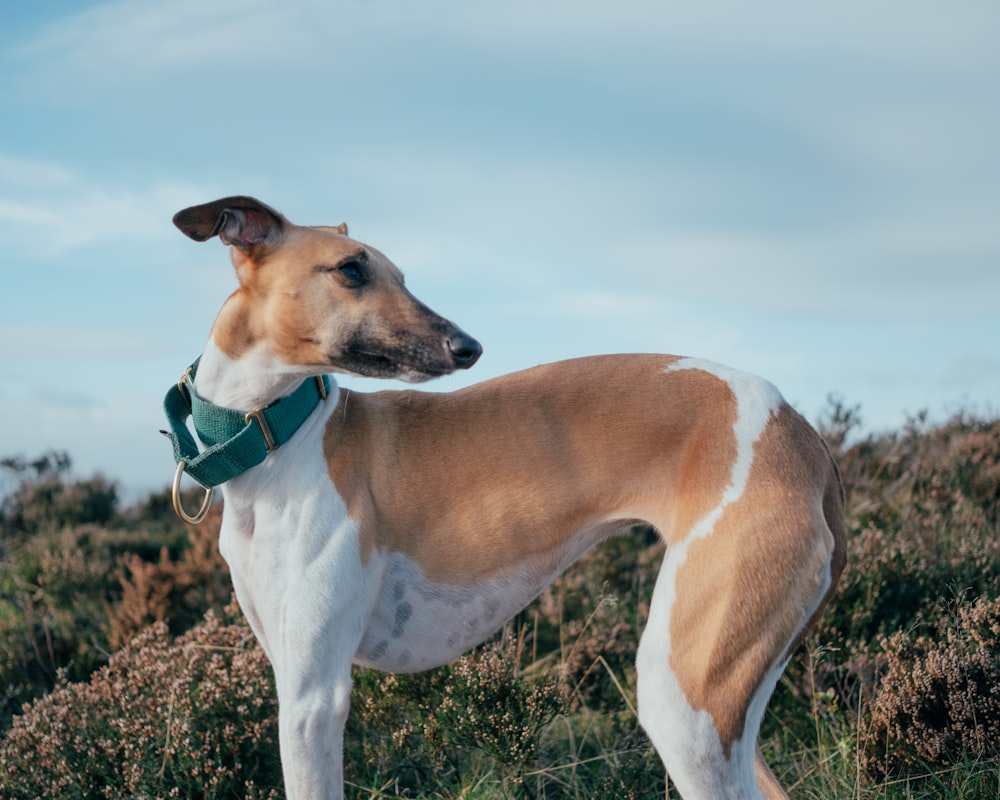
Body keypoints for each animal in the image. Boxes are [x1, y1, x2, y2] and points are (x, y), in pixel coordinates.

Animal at [162, 195, 844, 800]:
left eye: (397, 274)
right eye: (352, 268)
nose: (469, 347)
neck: (281, 440)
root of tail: (801, 432)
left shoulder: (313, 698)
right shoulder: (290, 671)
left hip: (686, 695)